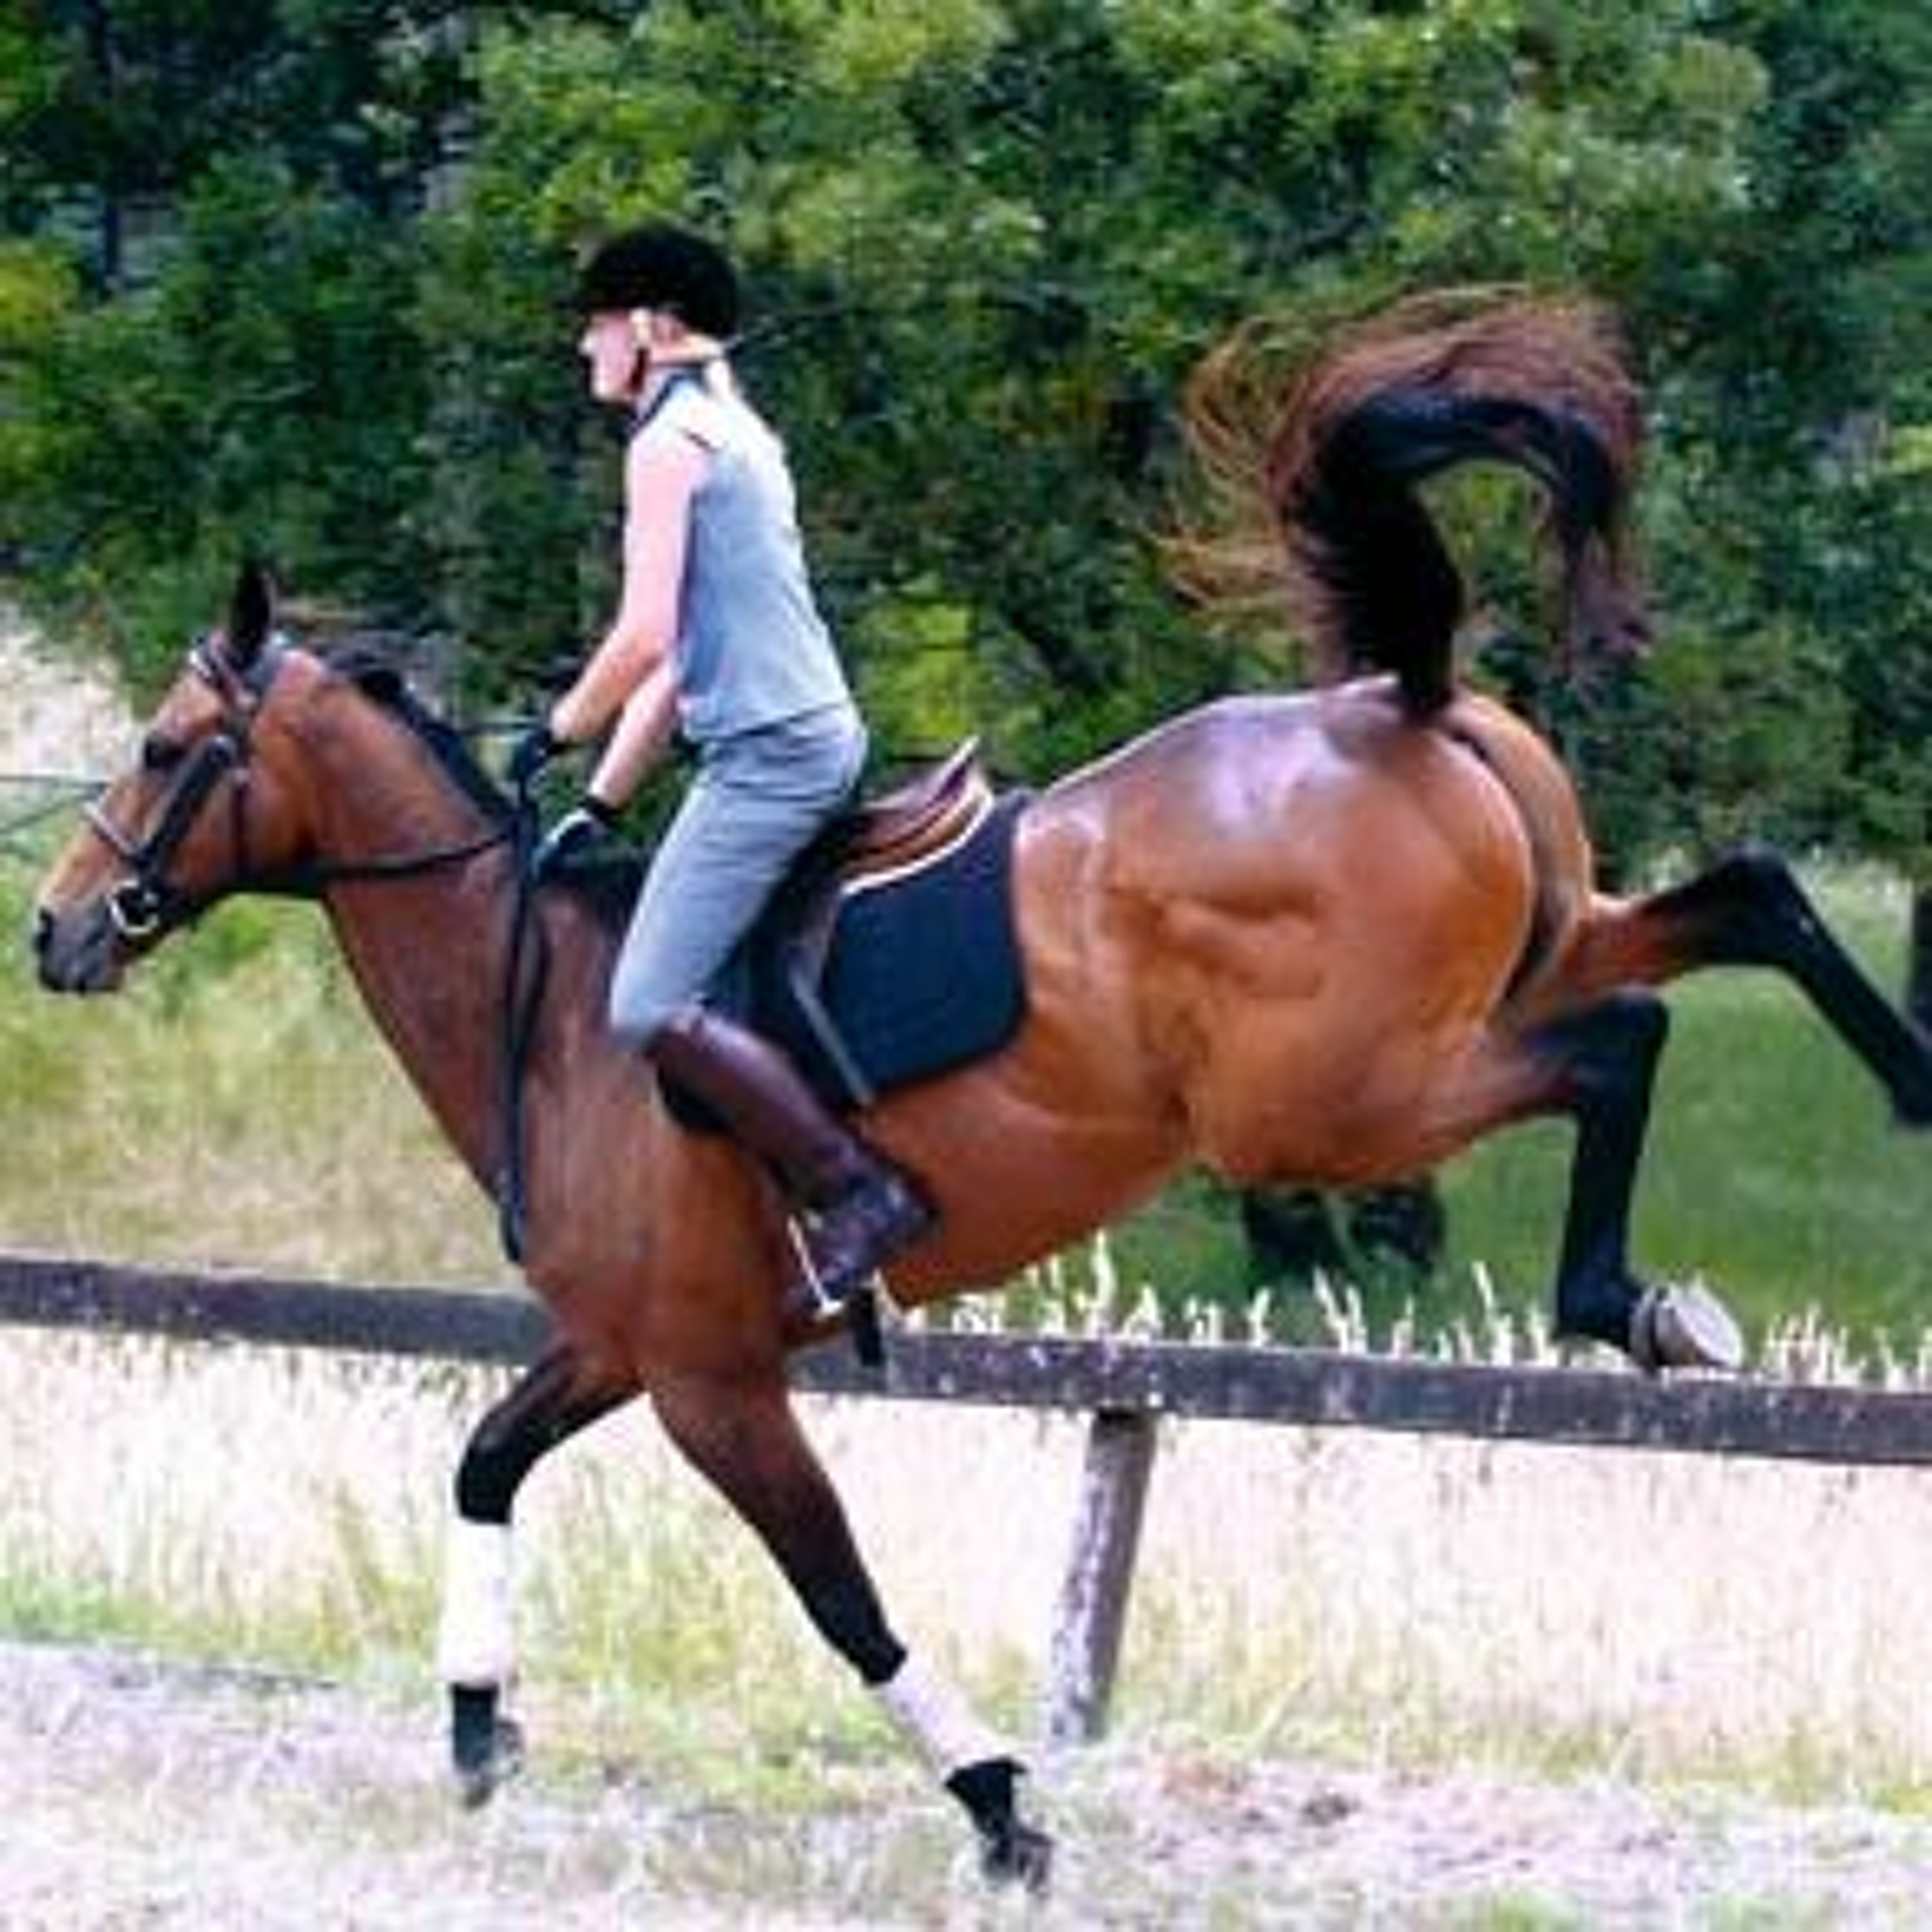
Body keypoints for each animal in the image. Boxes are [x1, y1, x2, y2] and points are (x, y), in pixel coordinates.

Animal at [32, 296, 1932, 1887]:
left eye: (160, 748)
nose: (57, 928)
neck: (551, 1008)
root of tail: (1393, 700)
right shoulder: (624, 1341)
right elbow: (485, 1464)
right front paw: (478, 1727)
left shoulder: (713, 1378)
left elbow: (842, 1598)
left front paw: (1004, 1808)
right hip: (1518, 960)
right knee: (1742, 898)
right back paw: (1898, 1098)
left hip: (1340, 1099)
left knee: (1623, 1046)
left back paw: (1637, 1297)